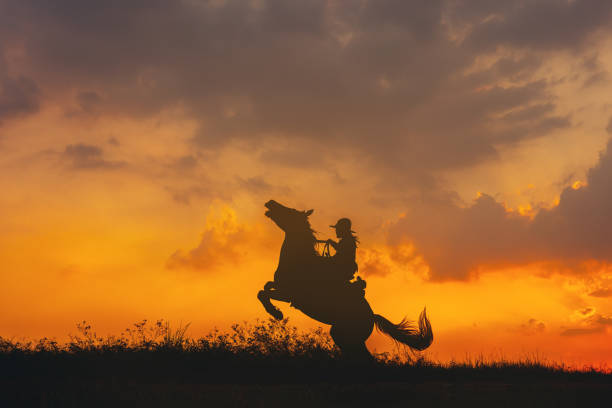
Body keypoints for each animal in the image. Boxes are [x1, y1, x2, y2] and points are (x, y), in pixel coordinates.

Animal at [258, 201, 436, 360]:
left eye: (291, 211)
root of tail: (372, 316)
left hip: (347, 337)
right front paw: (275, 311)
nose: (270, 202)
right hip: (345, 338)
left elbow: (262, 293)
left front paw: (277, 313)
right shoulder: (280, 287)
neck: (299, 260)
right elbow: (265, 287)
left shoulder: (288, 294)